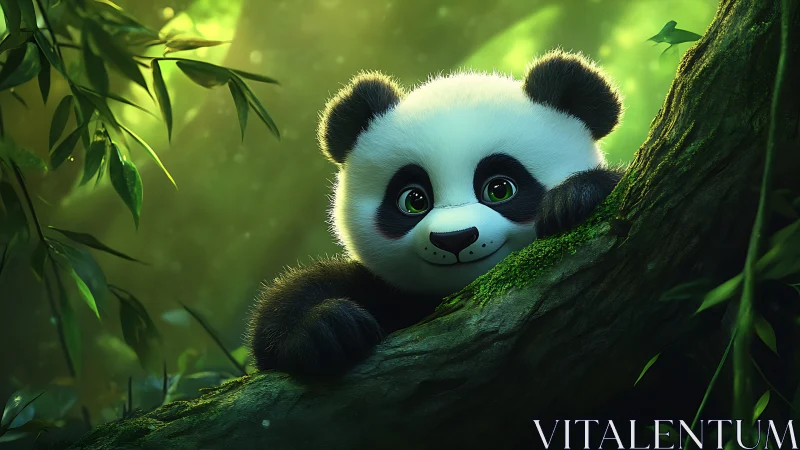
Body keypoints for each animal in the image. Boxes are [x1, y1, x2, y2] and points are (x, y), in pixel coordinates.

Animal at [246, 50, 625, 377]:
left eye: (500, 189)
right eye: (414, 200)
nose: (454, 239)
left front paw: (573, 199)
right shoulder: (391, 293)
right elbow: (294, 300)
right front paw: (326, 327)